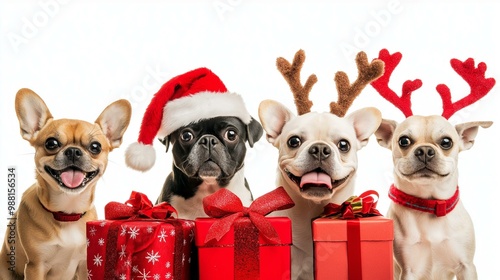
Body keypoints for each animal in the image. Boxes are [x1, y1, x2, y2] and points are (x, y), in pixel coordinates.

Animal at [372, 49, 492, 278]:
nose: (425, 151)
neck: (430, 204)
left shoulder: (467, 266)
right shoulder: (408, 269)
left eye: (446, 142)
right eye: (404, 141)